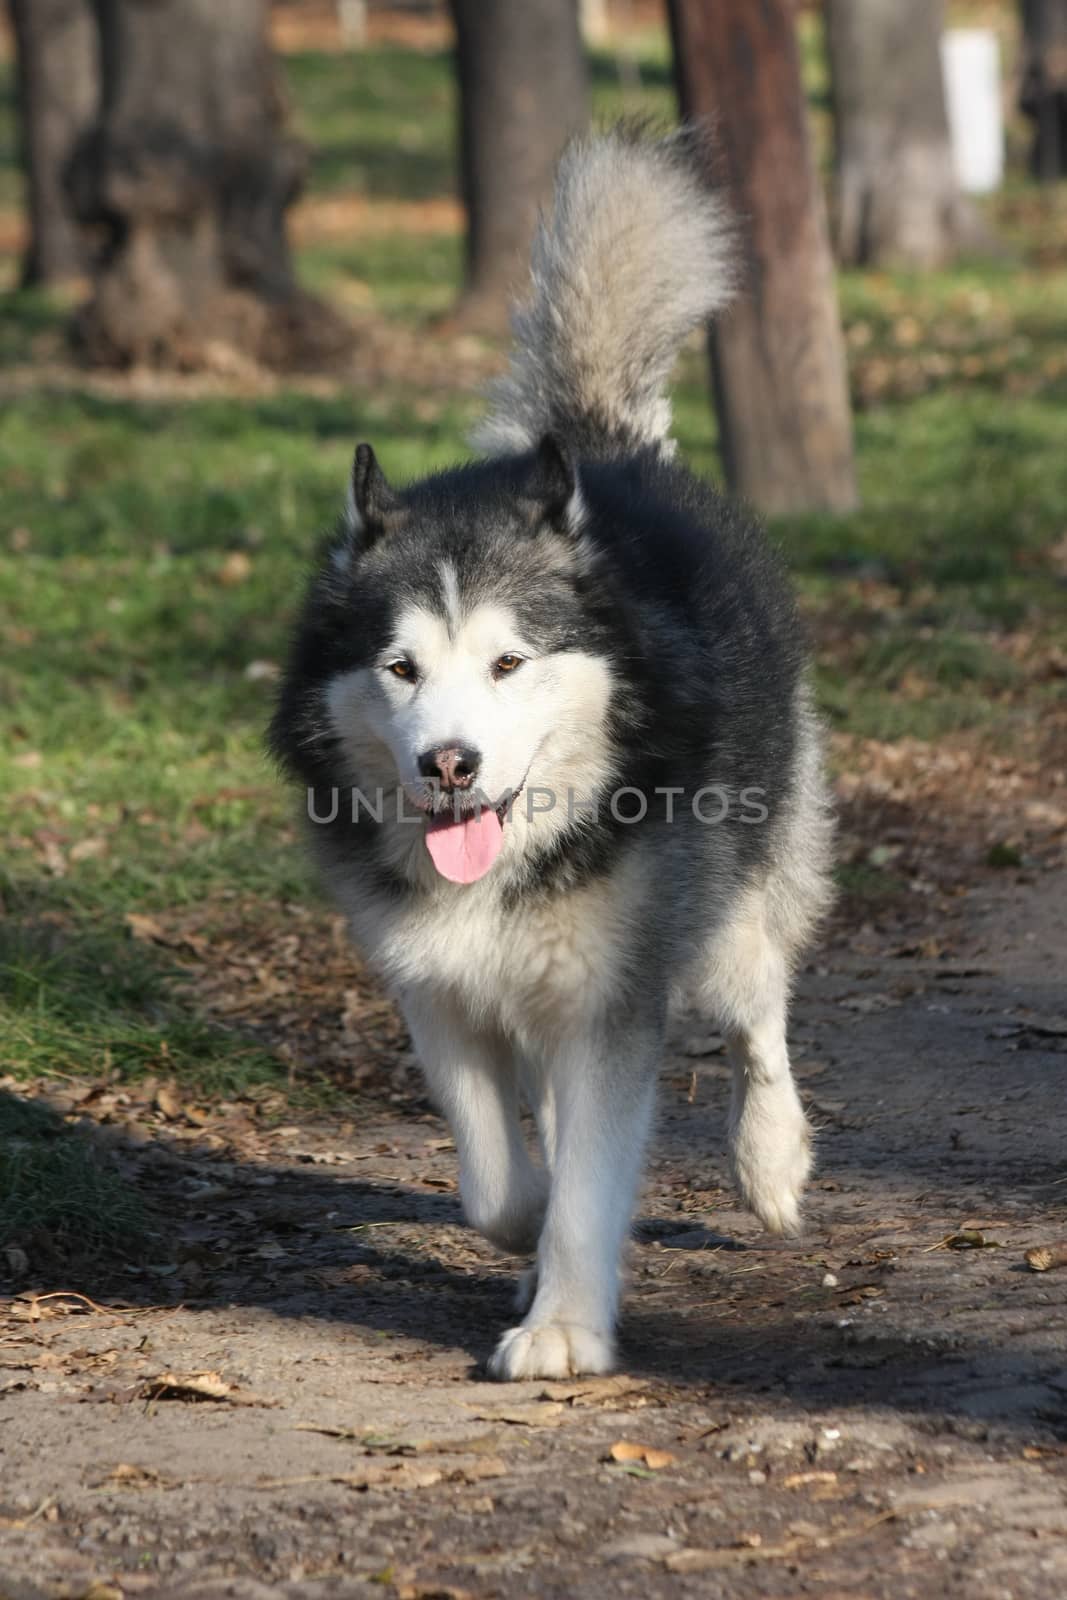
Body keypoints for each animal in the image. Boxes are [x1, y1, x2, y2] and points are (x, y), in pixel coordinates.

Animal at [268, 128, 831, 1376]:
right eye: (401, 668)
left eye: (507, 664)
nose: (450, 765)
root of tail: (605, 449)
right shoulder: (435, 988)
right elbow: (503, 1179)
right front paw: (527, 1244)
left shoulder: (611, 998)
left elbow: (587, 1178)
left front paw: (564, 1326)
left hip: (722, 910)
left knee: (758, 1006)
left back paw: (770, 1160)